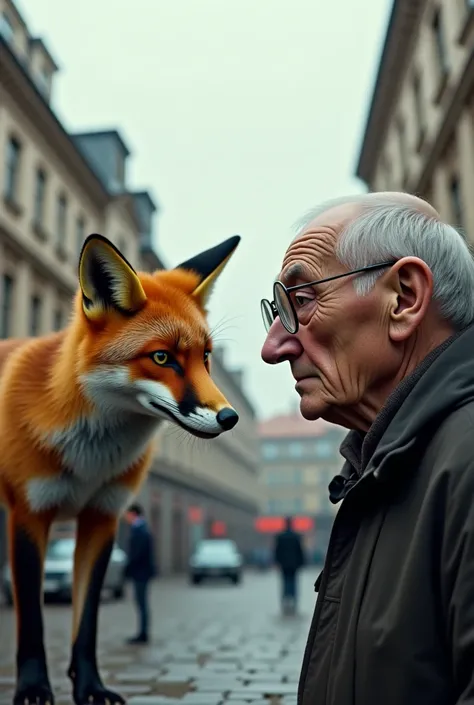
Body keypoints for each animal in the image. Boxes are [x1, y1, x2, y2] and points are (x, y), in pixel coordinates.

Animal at [0, 234, 241, 704]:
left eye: (205, 357)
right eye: (162, 358)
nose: (230, 418)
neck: (89, 459)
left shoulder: (102, 517)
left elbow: (87, 623)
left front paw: (90, 687)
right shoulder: (29, 515)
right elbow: (32, 620)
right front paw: (34, 688)